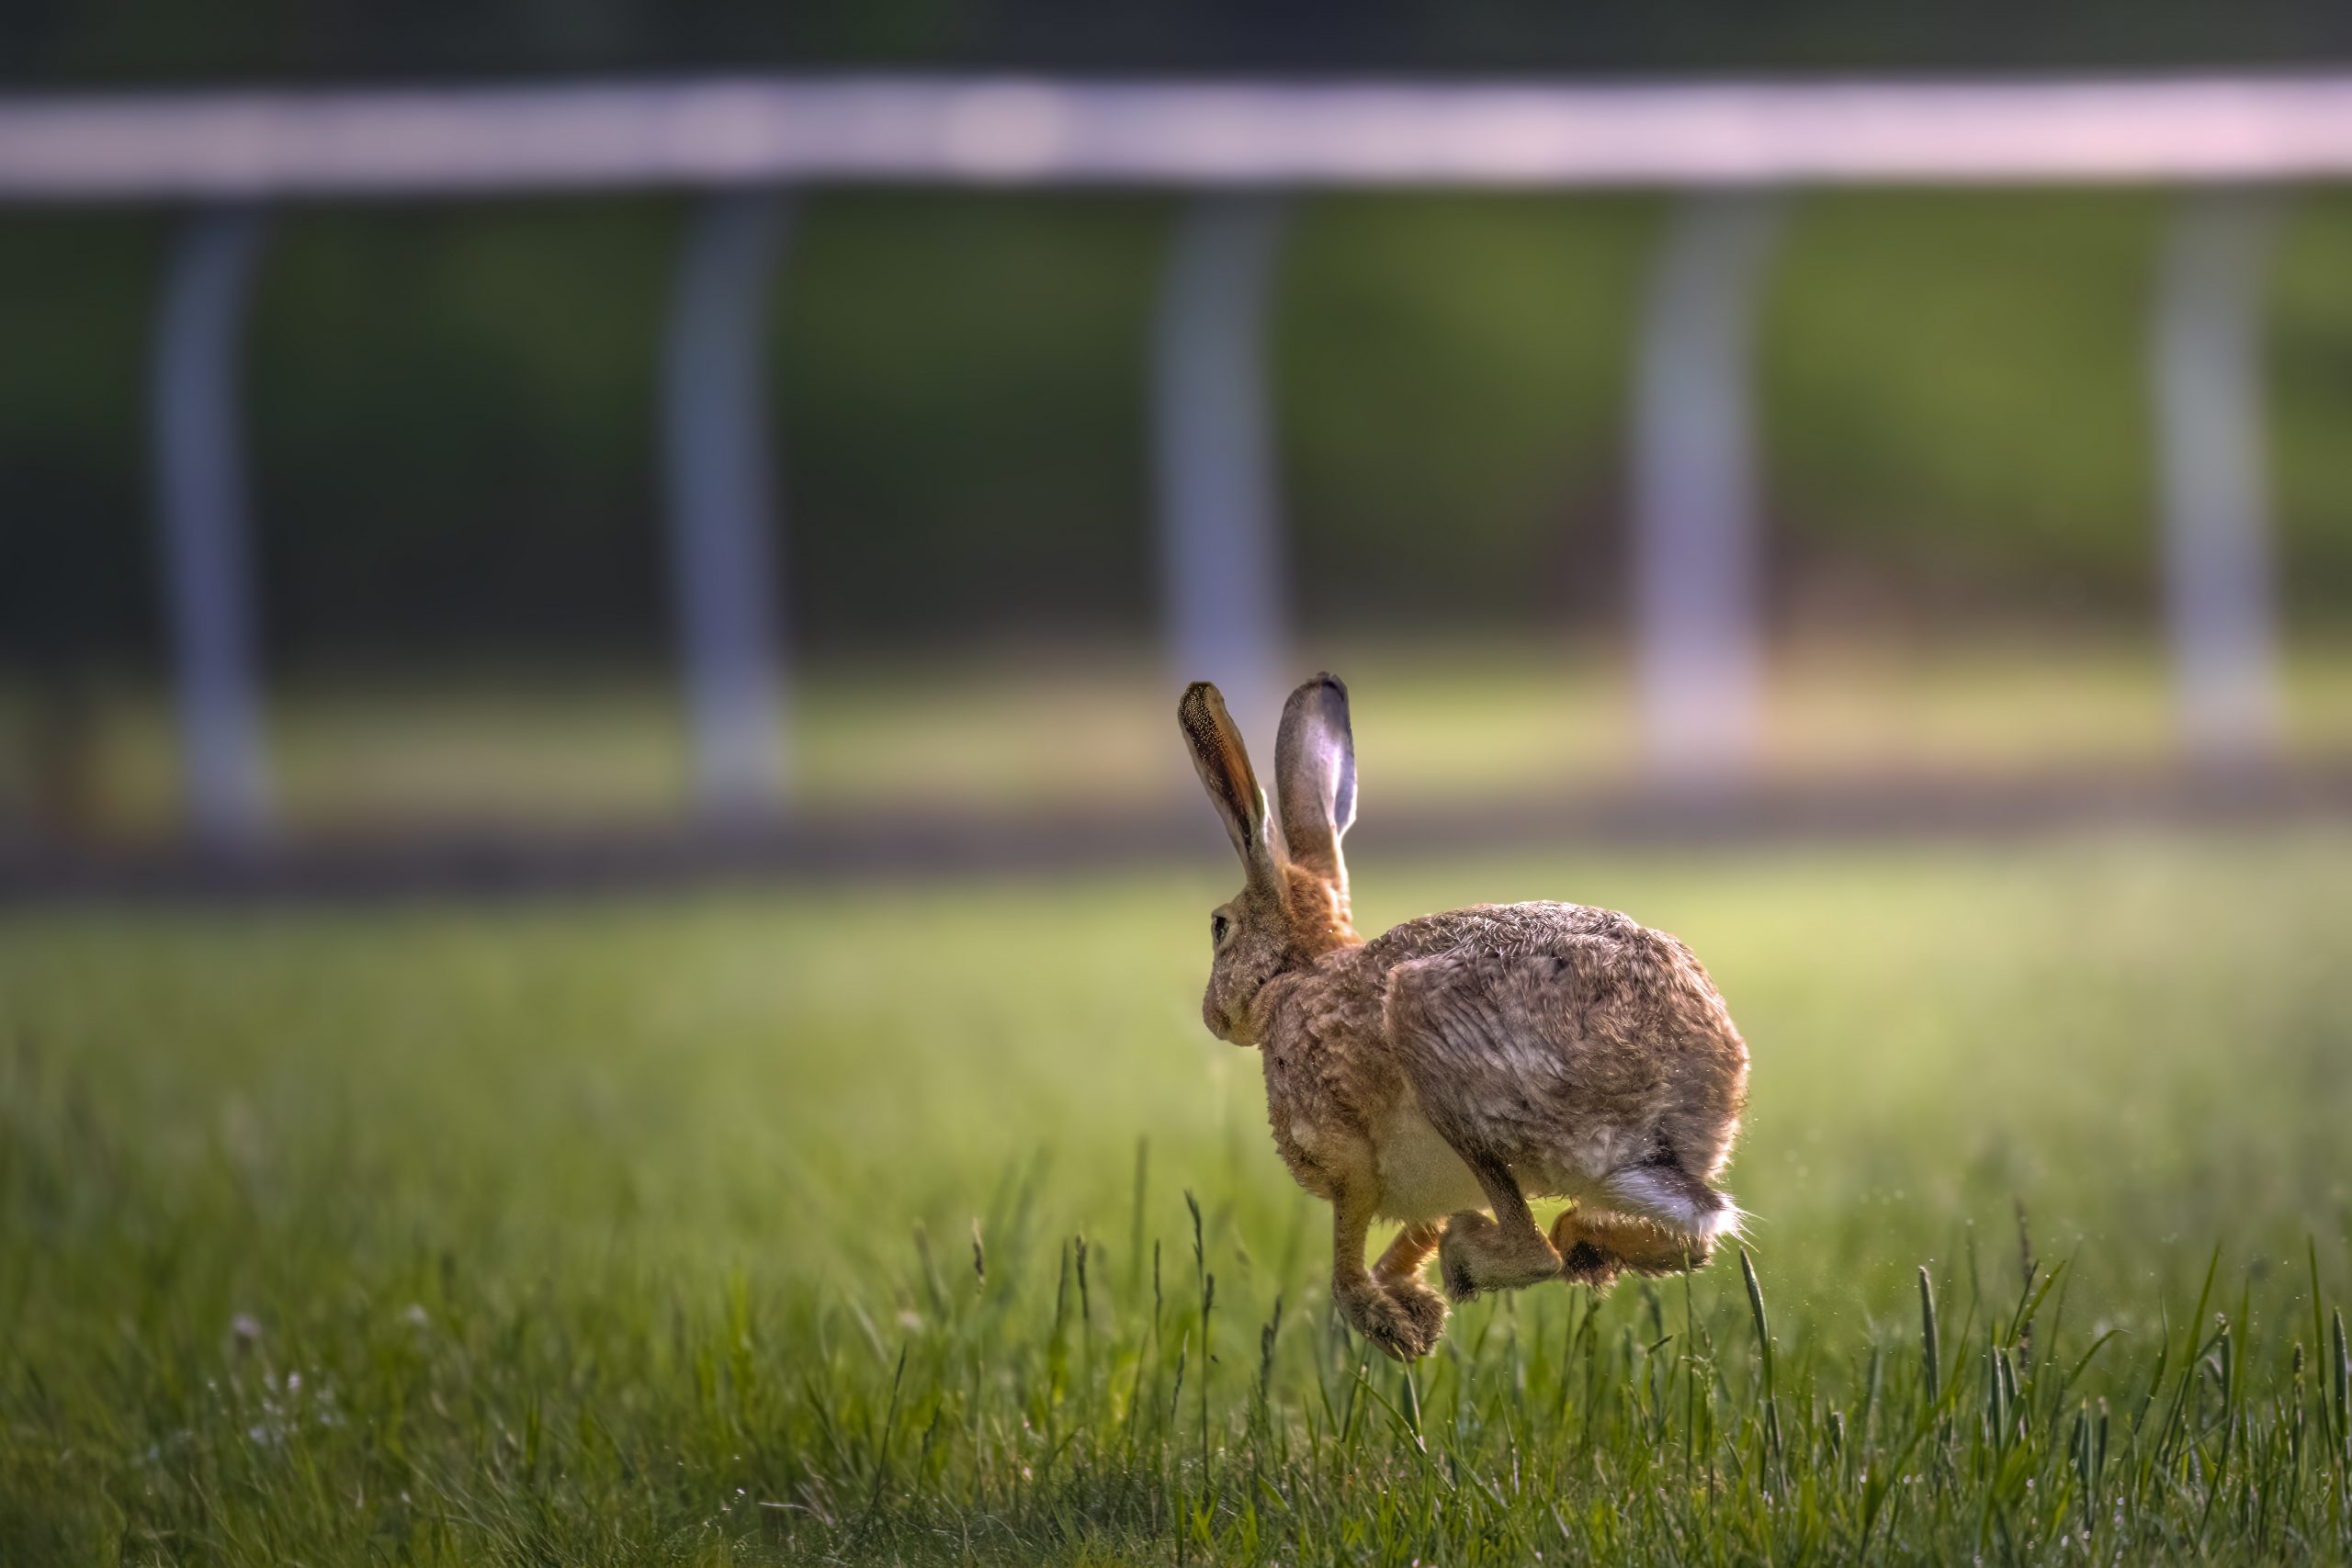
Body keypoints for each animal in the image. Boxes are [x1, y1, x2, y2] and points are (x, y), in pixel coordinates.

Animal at [1178, 673, 1749, 1361]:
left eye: (1219, 927)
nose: (1212, 1014)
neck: (1296, 977)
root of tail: (1674, 1101)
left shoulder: (1350, 1166)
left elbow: (1347, 1259)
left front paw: (1393, 1326)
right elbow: (1407, 1238)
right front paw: (1412, 1307)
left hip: (1441, 1062)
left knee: (1537, 1251)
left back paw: (1478, 1258)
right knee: (1695, 1239)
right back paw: (1586, 1243)